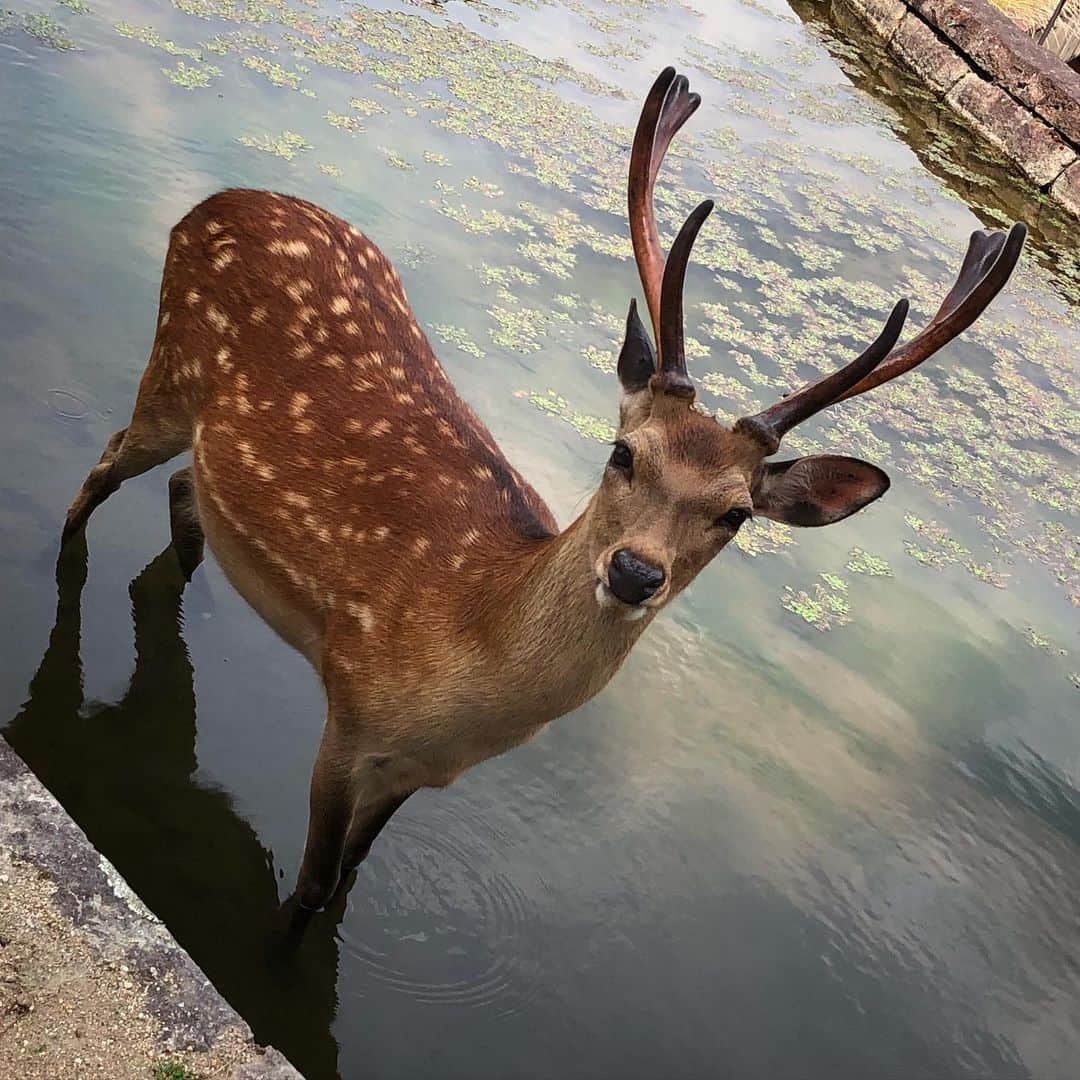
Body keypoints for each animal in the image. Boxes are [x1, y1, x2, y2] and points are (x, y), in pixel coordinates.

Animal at [60, 66, 1026, 919]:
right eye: (623, 452)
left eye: (735, 514)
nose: (635, 572)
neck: (458, 685)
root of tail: (214, 202)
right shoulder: (349, 712)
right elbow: (309, 892)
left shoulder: (417, 775)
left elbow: (348, 883)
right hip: (170, 373)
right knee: (101, 464)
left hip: (201, 440)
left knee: (183, 490)